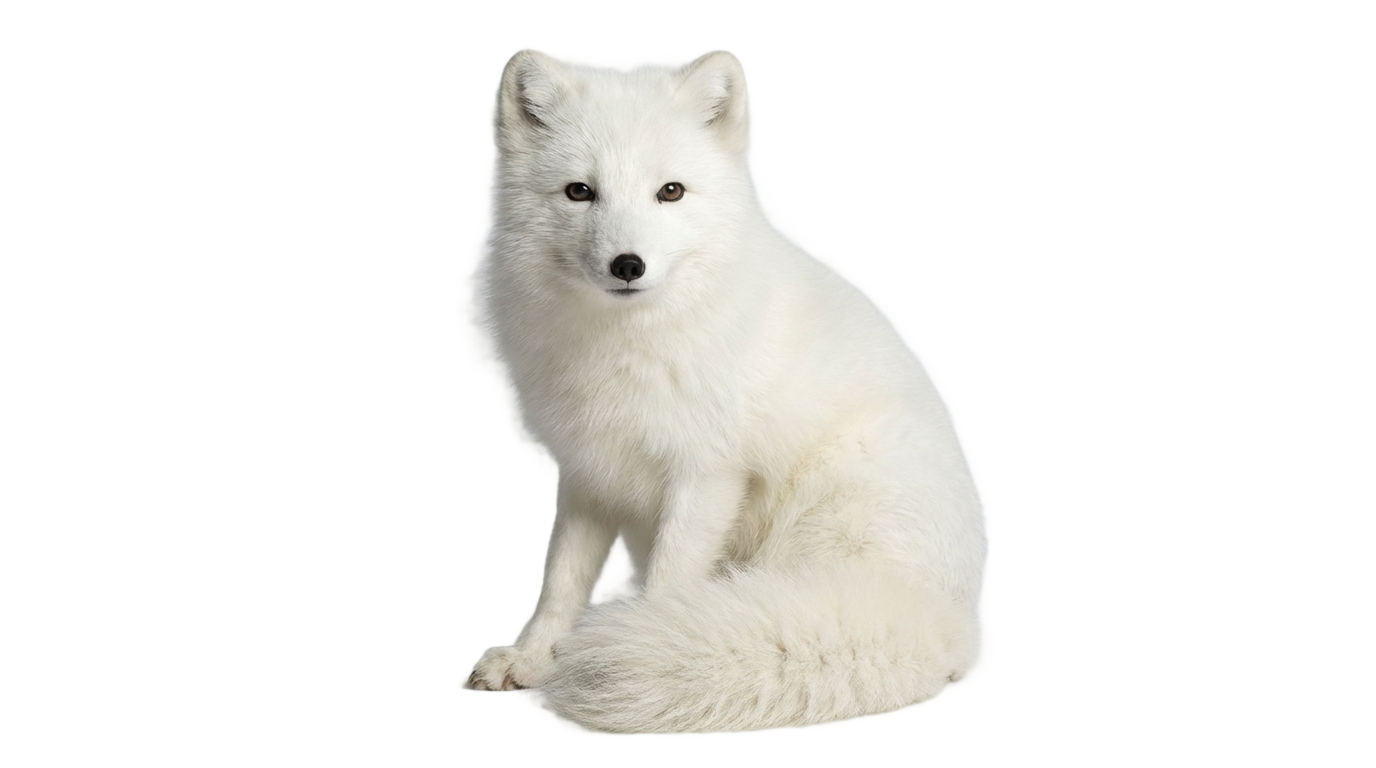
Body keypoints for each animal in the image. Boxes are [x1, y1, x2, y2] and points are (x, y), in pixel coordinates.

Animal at [468, 51, 983, 732]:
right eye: (580, 191)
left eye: (671, 191)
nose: (627, 265)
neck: (627, 347)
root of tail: (944, 617)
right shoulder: (588, 473)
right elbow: (560, 581)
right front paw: (532, 657)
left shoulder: (707, 475)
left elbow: (666, 581)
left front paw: (648, 647)